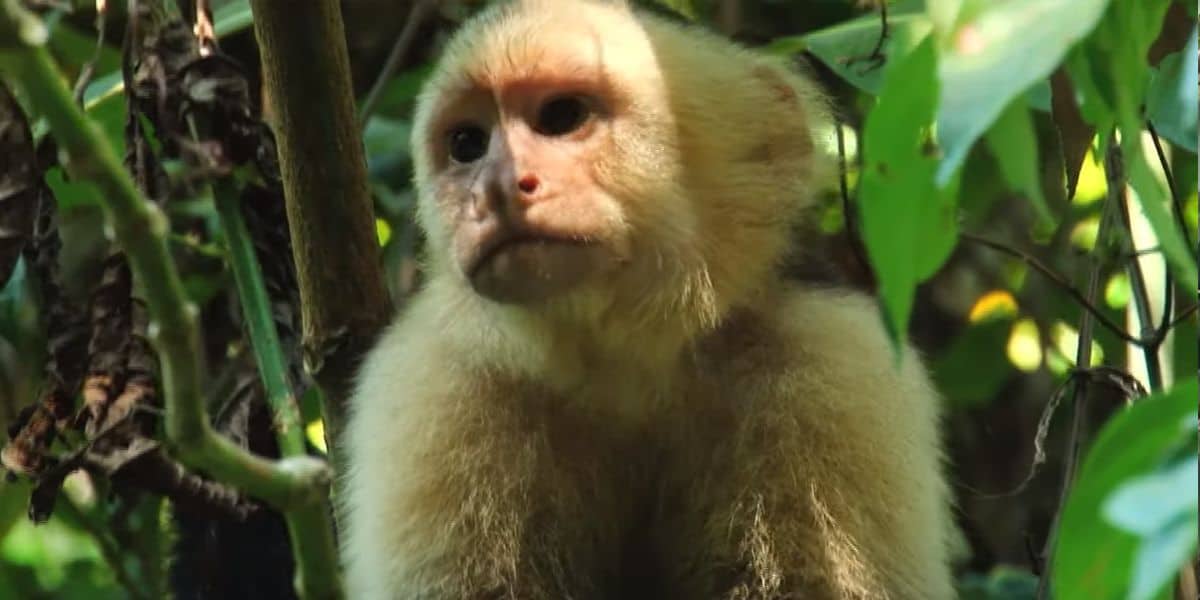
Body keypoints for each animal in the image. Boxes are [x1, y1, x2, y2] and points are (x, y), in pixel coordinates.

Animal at [342, 1, 954, 598]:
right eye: (467, 145)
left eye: (561, 116)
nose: (494, 188)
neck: (626, 366)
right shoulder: (432, 381)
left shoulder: (835, 356)